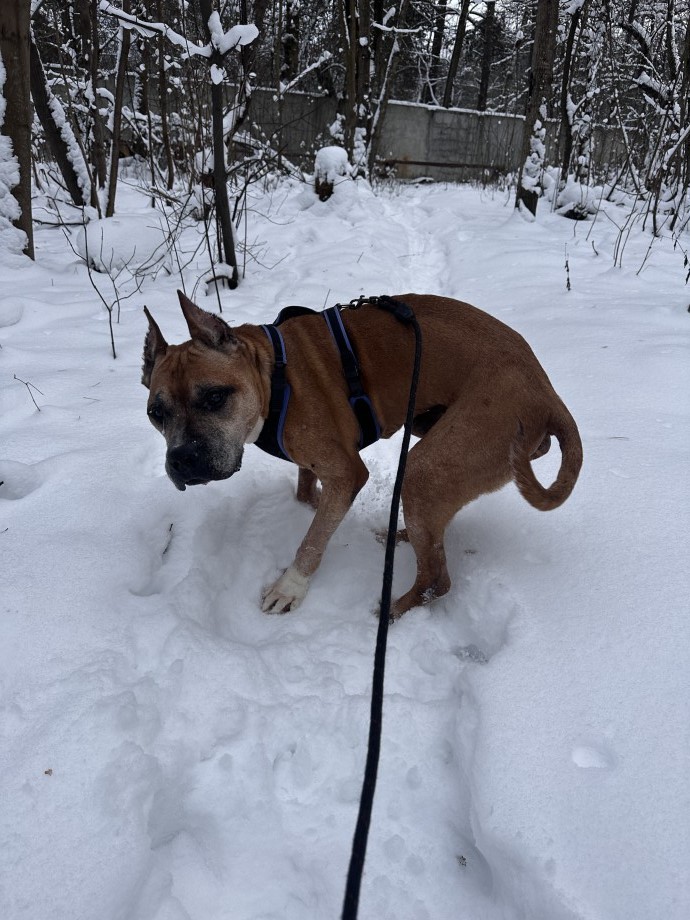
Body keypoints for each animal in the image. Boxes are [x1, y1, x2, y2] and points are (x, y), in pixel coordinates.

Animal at [142, 291, 582, 619]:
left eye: (216, 397)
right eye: (155, 414)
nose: (182, 460)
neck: (274, 373)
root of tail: (547, 396)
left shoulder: (346, 472)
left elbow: (312, 540)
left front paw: (291, 586)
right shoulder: (316, 462)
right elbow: (308, 492)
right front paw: (314, 504)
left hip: (425, 467)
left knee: (436, 579)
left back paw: (391, 611)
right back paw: (401, 535)